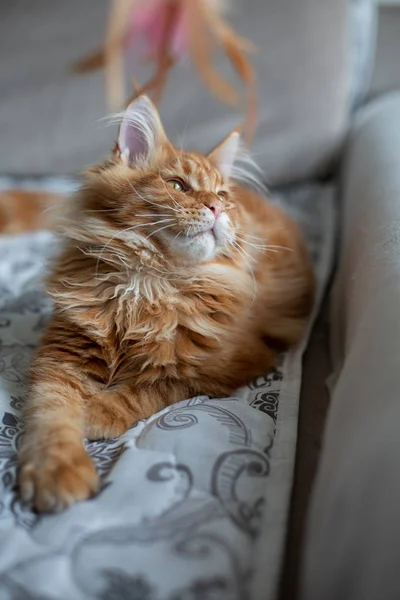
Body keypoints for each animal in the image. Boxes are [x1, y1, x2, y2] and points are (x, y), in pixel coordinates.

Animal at [5, 96, 312, 512]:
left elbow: (150, 387)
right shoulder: (62, 356)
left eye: (222, 197)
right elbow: (50, 415)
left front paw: (96, 411)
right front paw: (57, 473)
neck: (149, 283)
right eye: (178, 185)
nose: (216, 208)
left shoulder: (222, 367)